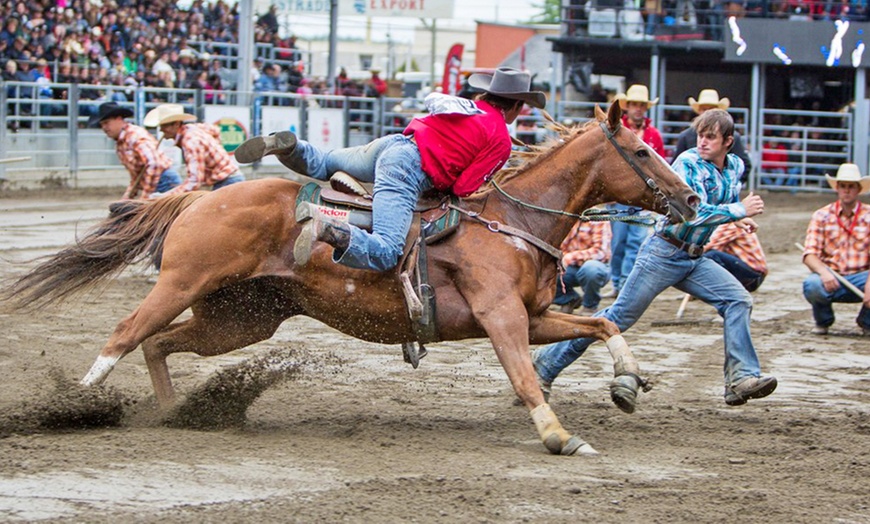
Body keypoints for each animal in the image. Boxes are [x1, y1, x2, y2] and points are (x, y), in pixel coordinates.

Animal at [3, 102, 700, 454]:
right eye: (642, 150)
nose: (690, 197)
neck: (511, 219)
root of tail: (201, 197)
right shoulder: (501, 316)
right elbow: (528, 378)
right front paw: (559, 435)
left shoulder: (533, 316)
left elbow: (601, 321)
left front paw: (628, 383)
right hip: (182, 283)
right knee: (126, 332)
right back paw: (77, 405)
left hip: (240, 319)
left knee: (159, 343)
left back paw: (176, 415)